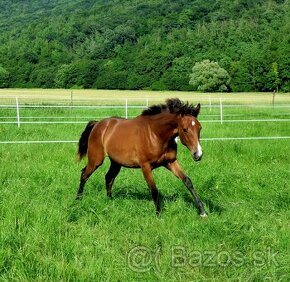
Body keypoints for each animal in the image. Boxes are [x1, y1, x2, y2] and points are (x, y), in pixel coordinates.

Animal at [76, 98, 206, 217]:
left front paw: (202, 212)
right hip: (96, 160)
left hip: (116, 163)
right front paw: (159, 215)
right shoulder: (146, 166)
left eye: (200, 128)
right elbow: (154, 189)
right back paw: (78, 199)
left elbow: (187, 181)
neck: (156, 134)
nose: (198, 154)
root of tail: (97, 124)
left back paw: (110, 200)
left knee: (108, 178)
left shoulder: (170, 162)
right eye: (185, 129)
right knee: (84, 175)